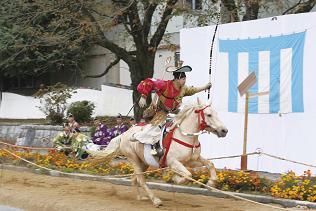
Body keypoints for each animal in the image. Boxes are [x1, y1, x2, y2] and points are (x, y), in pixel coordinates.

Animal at [91, 98, 227, 206]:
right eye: (209, 115)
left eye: (216, 113)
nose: (224, 130)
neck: (185, 136)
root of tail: (124, 134)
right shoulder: (173, 162)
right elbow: (188, 175)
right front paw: (175, 178)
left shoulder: (192, 160)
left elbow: (210, 164)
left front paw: (211, 182)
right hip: (133, 158)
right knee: (141, 179)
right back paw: (155, 200)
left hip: (143, 162)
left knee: (134, 179)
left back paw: (141, 197)